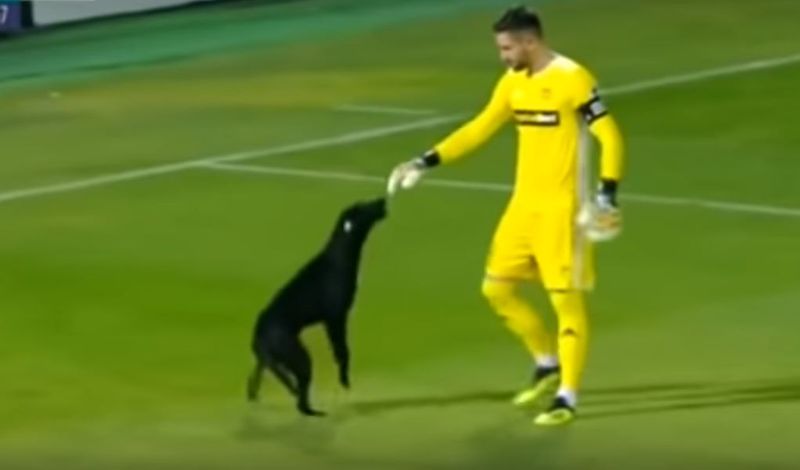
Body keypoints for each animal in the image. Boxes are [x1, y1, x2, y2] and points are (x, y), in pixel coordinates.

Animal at [248, 197, 390, 414]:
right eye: (362, 207)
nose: (382, 199)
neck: (339, 256)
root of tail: (258, 333)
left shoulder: (332, 320)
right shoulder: (335, 318)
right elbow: (342, 351)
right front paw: (344, 380)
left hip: (268, 361)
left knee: (258, 380)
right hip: (299, 357)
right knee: (300, 397)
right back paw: (313, 412)